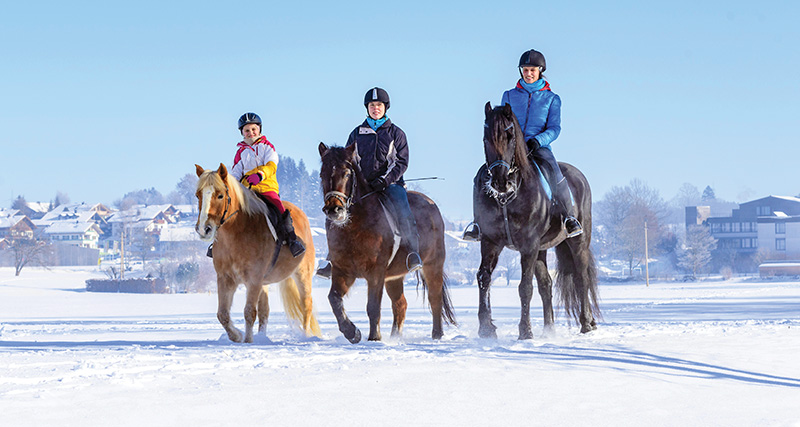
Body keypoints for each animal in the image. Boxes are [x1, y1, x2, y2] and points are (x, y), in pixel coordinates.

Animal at [194, 163, 321, 343]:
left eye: (220, 195)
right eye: (198, 195)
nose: (204, 229)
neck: (237, 233)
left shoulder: (253, 280)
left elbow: (249, 312)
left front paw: (248, 341)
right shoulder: (225, 279)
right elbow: (223, 314)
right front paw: (237, 335)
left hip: (302, 274)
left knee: (306, 305)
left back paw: (305, 335)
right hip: (264, 282)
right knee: (264, 311)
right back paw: (262, 337)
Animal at [317, 143, 456, 343]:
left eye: (346, 174)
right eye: (322, 174)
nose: (334, 209)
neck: (355, 226)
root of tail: (431, 204)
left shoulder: (376, 272)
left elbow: (373, 306)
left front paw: (374, 337)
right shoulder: (343, 270)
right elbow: (334, 299)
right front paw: (352, 332)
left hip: (433, 265)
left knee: (434, 298)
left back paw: (437, 335)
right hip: (394, 277)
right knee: (401, 304)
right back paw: (395, 336)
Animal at [473, 102, 600, 339]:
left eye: (510, 136)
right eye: (485, 138)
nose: (500, 181)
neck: (508, 197)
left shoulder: (528, 245)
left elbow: (525, 287)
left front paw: (525, 331)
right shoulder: (490, 242)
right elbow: (483, 278)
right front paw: (486, 328)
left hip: (577, 241)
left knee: (581, 278)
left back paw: (587, 323)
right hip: (542, 248)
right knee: (546, 285)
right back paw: (549, 329)